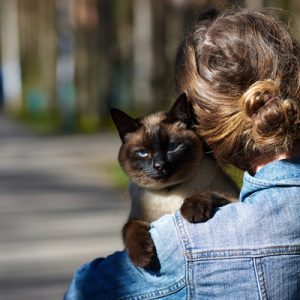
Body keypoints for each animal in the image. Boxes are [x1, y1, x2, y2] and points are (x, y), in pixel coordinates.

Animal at [110, 94, 239, 270]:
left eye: (172, 147)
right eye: (143, 153)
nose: (159, 166)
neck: (168, 192)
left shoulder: (234, 198)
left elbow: (208, 193)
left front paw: (193, 212)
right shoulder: (139, 219)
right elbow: (129, 228)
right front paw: (144, 259)